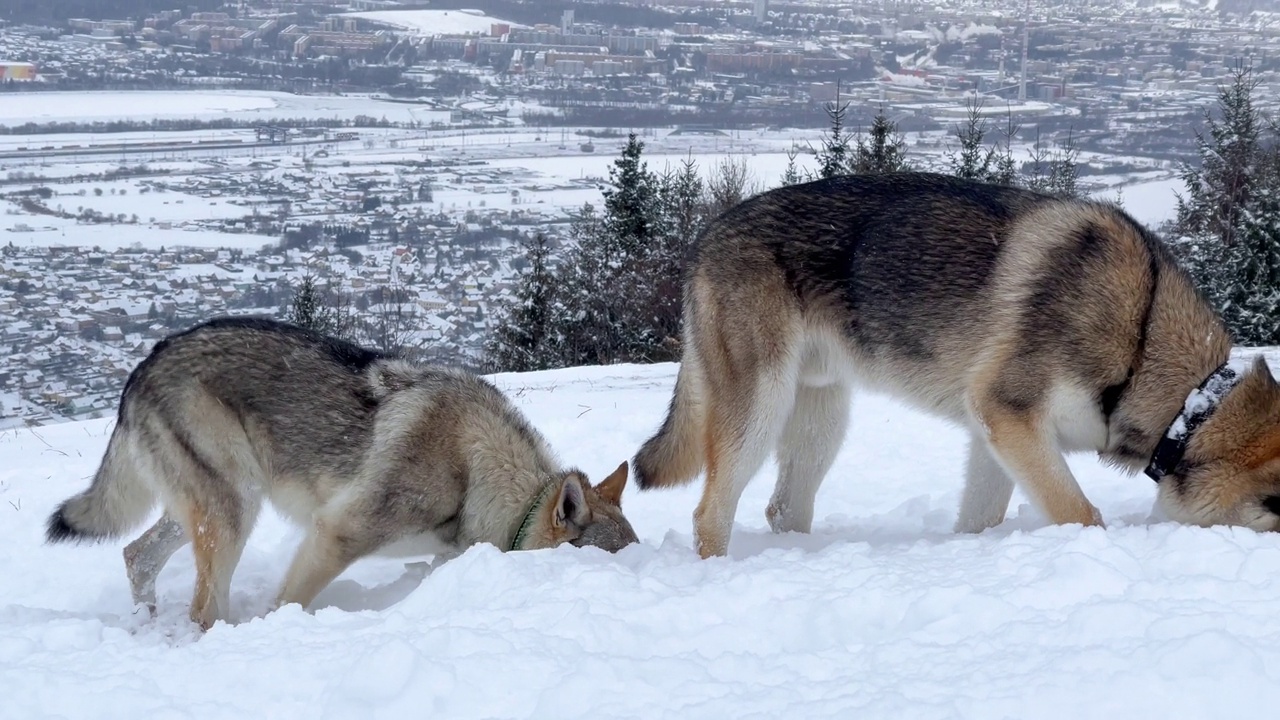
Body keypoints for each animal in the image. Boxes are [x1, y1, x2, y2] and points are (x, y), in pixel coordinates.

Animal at [47, 316, 637, 625]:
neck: (477, 473)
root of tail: (142, 365)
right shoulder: (335, 534)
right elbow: (288, 600)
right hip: (234, 513)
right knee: (199, 608)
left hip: (209, 510)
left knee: (135, 555)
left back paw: (144, 622)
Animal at [634, 170, 1280, 558]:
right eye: (1276, 508)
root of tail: (707, 236)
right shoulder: (1009, 416)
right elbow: (1081, 513)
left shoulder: (996, 436)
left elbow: (981, 520)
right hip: (761, 410)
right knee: (709, 512)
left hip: (821, 421)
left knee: (781, 507)